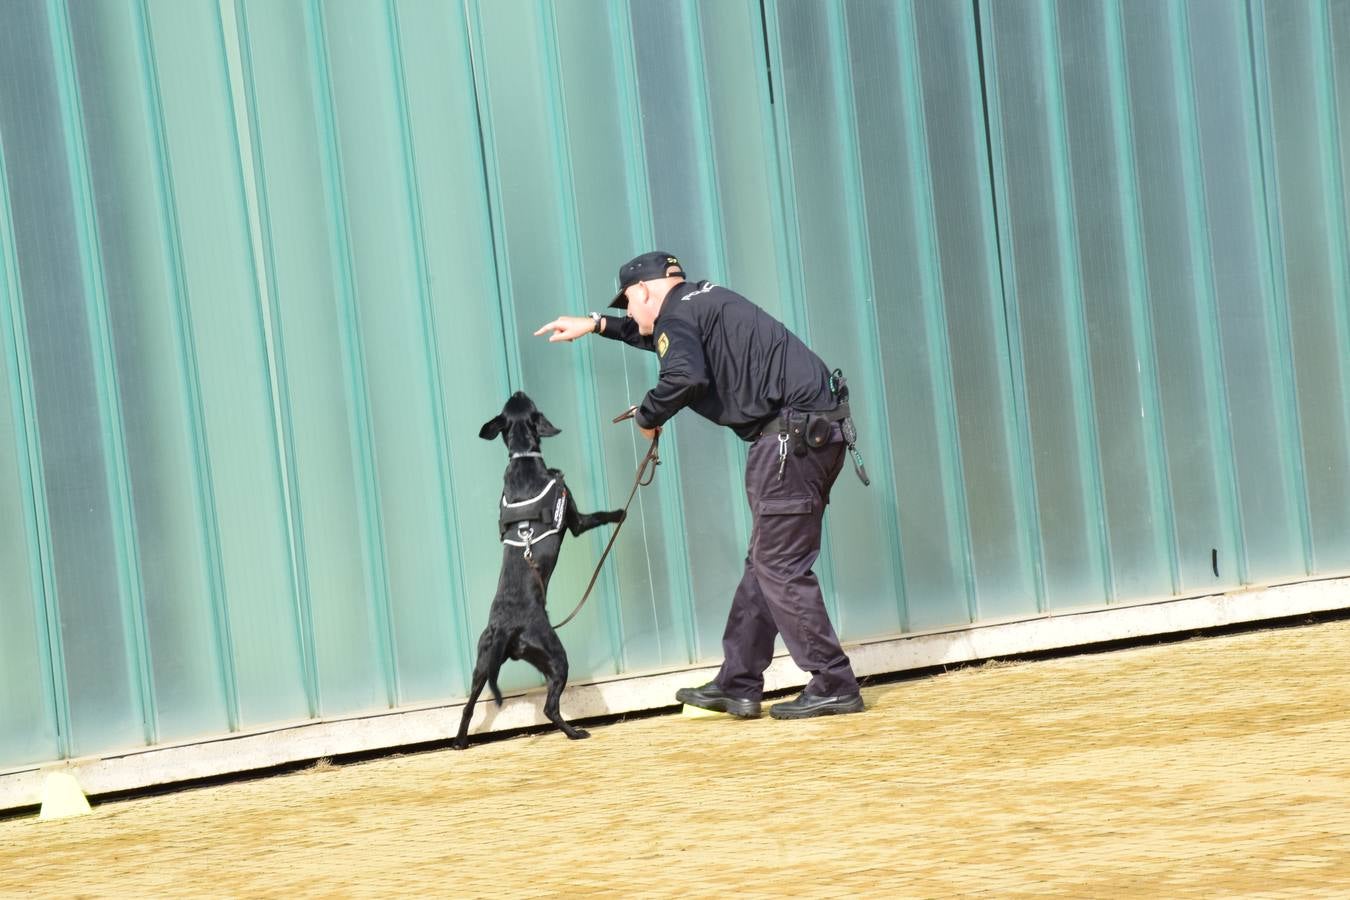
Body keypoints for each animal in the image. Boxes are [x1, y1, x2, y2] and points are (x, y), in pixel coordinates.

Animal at [450, 394, 623, 755]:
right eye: (527, 402)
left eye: (513, 402)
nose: (517, 389)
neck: (523, 459)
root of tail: (507, 629)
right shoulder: (575, 519)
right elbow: (597, 516)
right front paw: (619, 513)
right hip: (556, 657)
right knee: (549, 707)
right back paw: (575, 733)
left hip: (482, 664)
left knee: (469, 706)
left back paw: (460, 741)